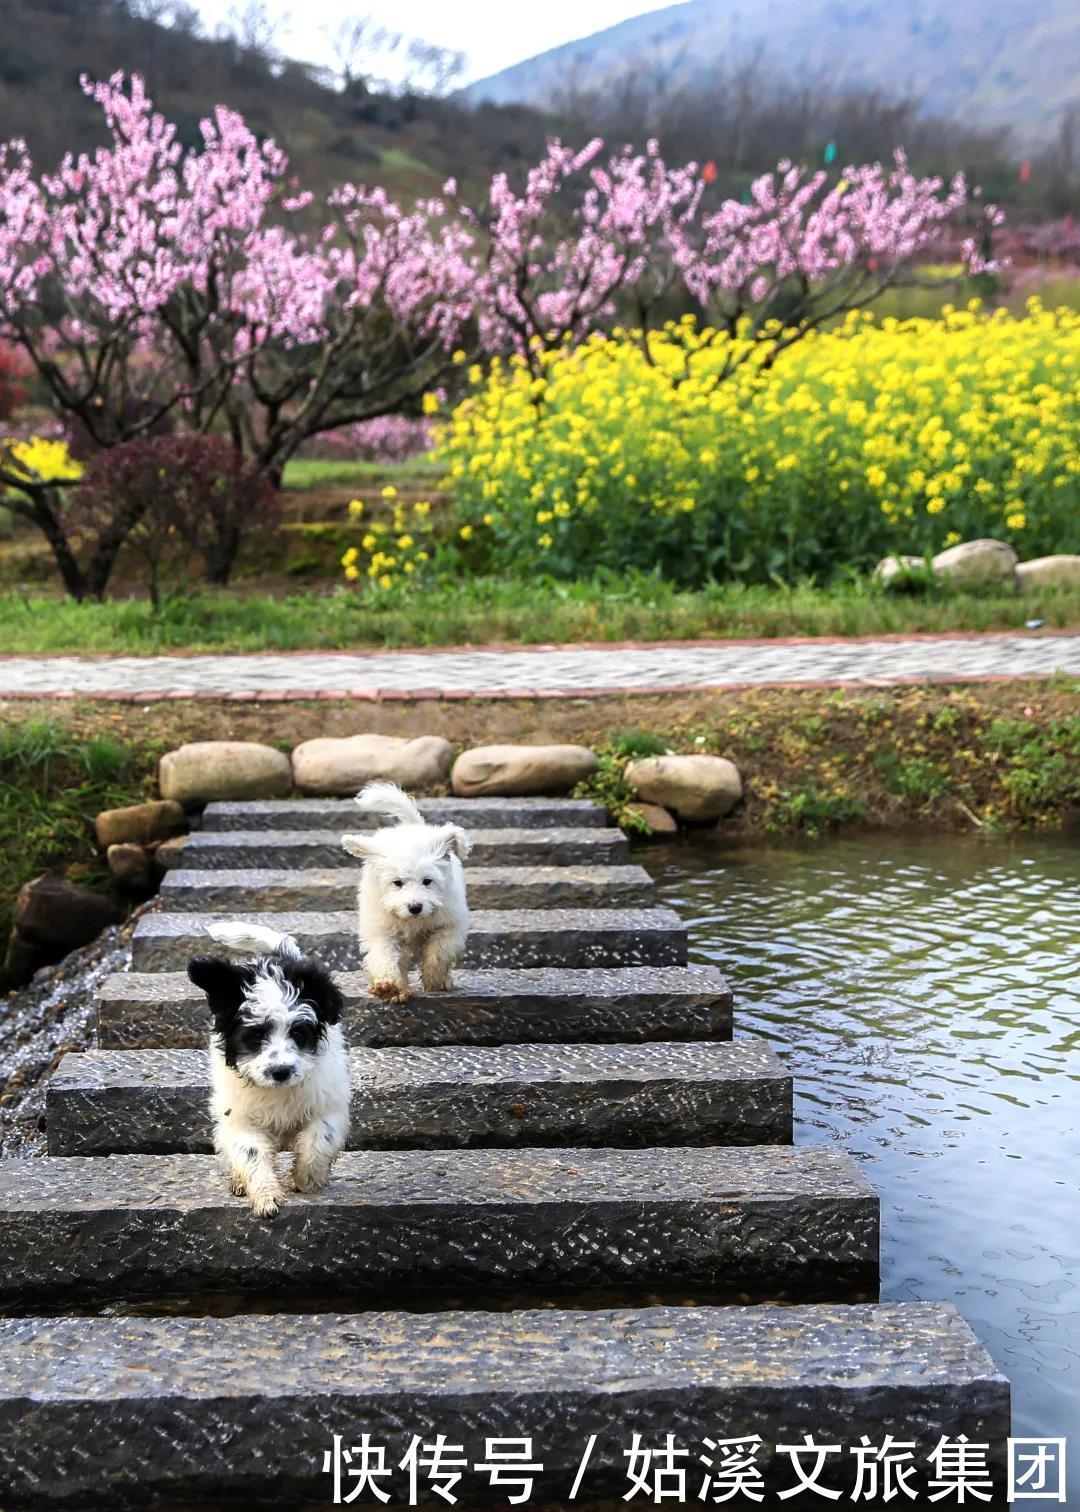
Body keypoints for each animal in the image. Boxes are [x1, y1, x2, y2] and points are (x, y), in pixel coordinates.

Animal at [185, 919, 349, 1215]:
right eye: (255, 1036)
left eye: (298, 1034)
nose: (280, 1071)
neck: (278, 1092)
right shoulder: (240, 1117)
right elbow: (250, 1151)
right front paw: (265, 1196)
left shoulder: (328, 1104)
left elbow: (320, 1139)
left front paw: (305, 1178)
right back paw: (240, 1182)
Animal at [338, 780, 468, 1003]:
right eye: (397, 883)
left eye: (427, 881)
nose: (415, 907)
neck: (414, 921)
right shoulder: (382, 929)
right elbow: (384, 955)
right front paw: (389, 987)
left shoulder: (451, 924)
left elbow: (439, 951)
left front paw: (434, 981)